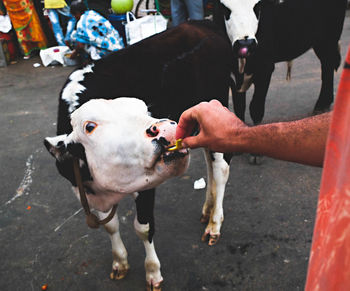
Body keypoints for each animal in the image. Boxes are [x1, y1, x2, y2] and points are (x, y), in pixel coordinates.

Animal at [45, 20, 234, 290]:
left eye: (145, 109)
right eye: (90, 126)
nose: (167, 128)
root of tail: (204, 24)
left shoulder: (146, 184)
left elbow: (143, 228)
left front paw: (153, 272)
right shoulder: (85, 190)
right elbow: (110, 226)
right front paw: (120, 262)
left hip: (216, 106)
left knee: (220, 168)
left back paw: (214, 224)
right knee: (210, 160)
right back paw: (208, 208)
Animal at [213, 0, 348, 124]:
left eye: (258, 6)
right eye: (225, 8)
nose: (245, 43)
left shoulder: (265, 67)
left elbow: (256, 109)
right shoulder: (231, 73)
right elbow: (239, 109)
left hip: (329, 35)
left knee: (327, 64)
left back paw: (322, 104)